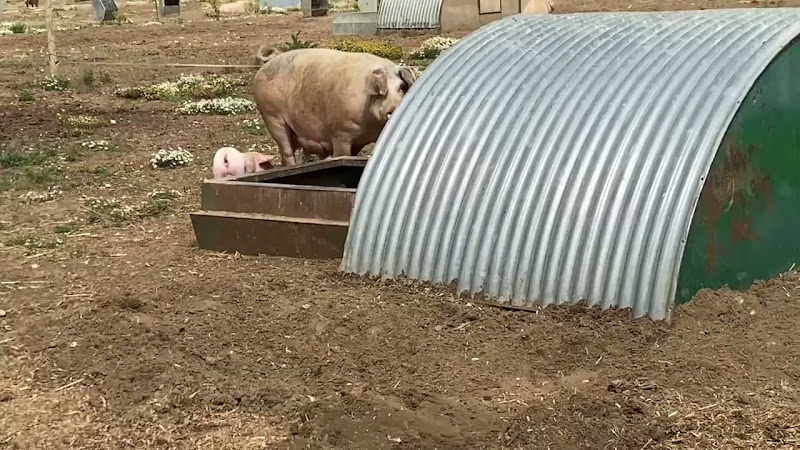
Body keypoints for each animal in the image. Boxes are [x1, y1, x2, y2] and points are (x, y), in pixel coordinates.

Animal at [252, 46, 417, 166]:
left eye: (402, 87)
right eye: (382, 91)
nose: (394, 106)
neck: (370, 126)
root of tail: (269, 61)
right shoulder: (341, 133)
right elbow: (342, 155)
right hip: (272, 116)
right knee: (286, 151)